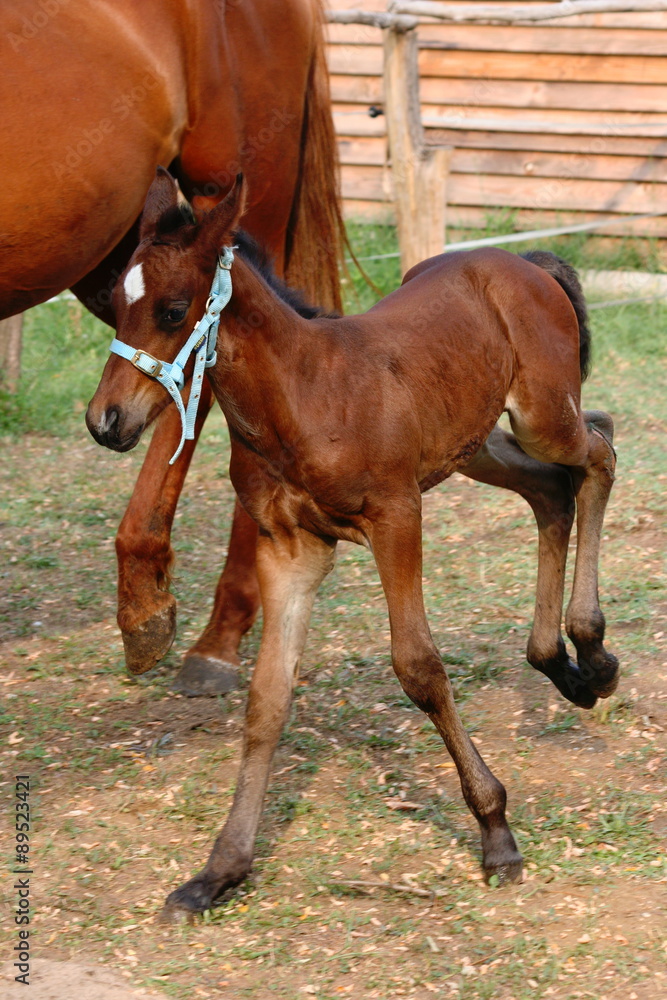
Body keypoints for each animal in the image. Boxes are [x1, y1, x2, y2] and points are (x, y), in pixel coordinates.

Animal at [86, 172, 619, 919]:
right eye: (114, 307)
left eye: (171, 310)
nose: (105, 421)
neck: (304, 395)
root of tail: (523, 261)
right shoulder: (289, 547)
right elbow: (267, 699)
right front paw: (218, 872)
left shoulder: (396, 516)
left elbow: (418, 667)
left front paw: (496, 833)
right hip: (475, 444)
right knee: (550, 491)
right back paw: (561, 664)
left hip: (543, 416)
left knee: (598, 451)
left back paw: (592, 651)